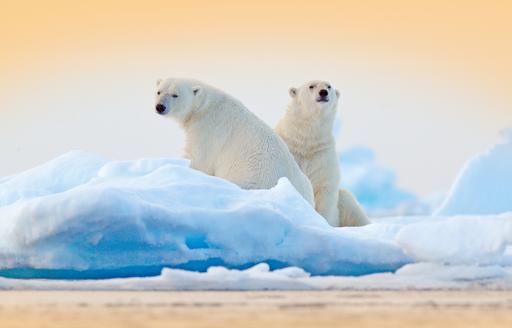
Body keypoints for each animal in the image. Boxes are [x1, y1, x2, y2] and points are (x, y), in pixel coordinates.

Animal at [155, 77, 316, 206]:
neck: (204, 106)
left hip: (251, 178)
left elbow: (200, 160)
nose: (160, 107)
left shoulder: (209, 129)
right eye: (159, 91)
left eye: (175, 95)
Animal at [276, 80, 368, 227]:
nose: (323, 92)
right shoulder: (292, 149)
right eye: (311, 86)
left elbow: (324, 190)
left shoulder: (322, 157)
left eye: (329, 86)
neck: (306, 141)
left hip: (344, 203)